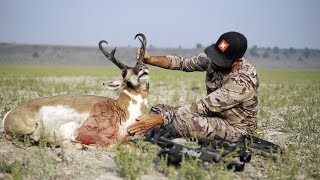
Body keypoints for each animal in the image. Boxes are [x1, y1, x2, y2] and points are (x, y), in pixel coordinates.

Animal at [1, 33, 149, 147]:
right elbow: (112, 144)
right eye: (124, 73)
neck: (119, 109)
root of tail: (10, 112)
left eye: (142, 64)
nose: (142, 69)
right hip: (29, 127)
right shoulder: (77, 132)